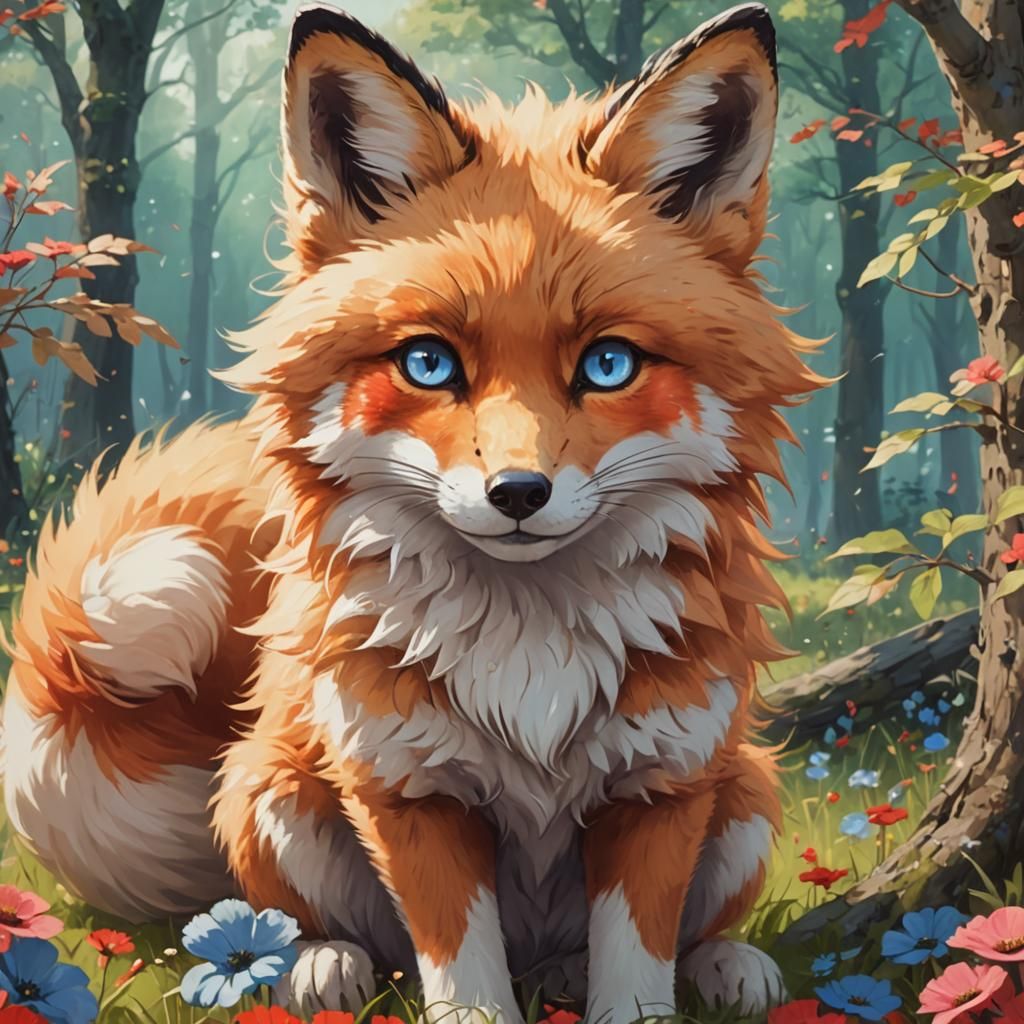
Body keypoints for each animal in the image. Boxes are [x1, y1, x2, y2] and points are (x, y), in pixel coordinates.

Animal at [2, 4, 823, 1021]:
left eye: (608, 365)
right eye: (429, 364)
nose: (518, 495)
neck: (529, 651)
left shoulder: (664, 785)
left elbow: (636, 965)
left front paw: (645, 994)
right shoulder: (406, 787)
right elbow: (459, 968)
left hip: (745, 796)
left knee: (651, 940)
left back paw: (711, 966)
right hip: (275, 793)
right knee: (322, 929)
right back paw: (316, 964)